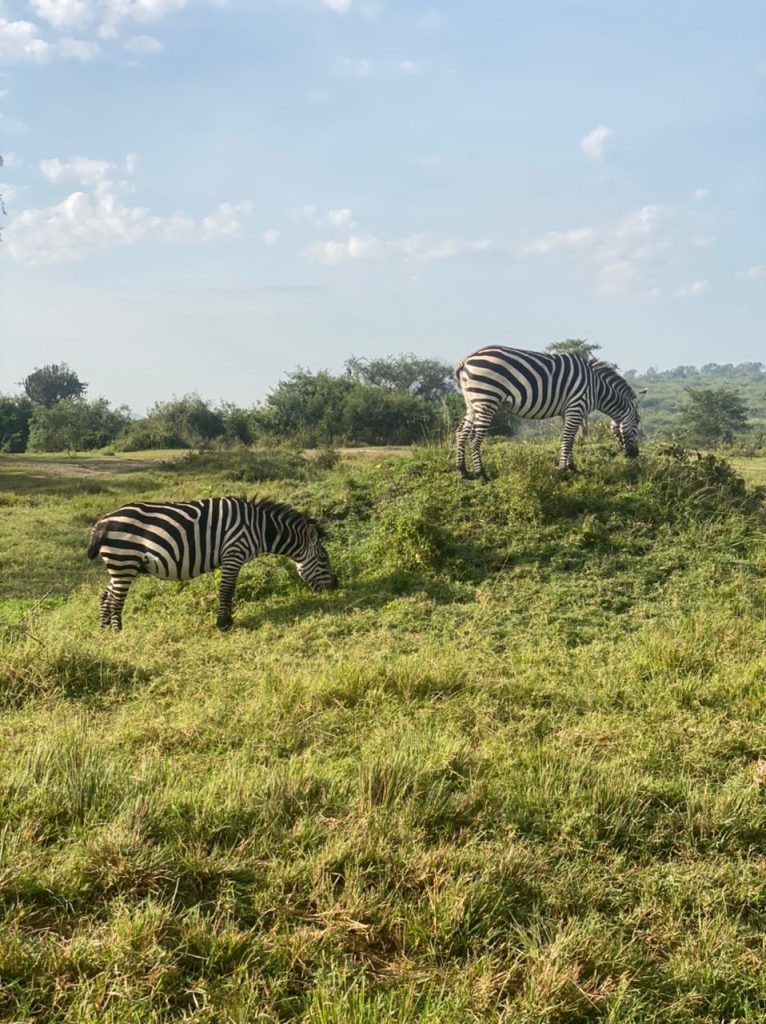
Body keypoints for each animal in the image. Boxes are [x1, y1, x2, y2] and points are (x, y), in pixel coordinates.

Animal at [85, 497, 335, 630]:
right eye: (324, 558)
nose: (336, 586)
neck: (260, 528)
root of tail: (102, 522)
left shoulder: (233, 557)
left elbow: (229, 590)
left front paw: (228, 620)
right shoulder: (234, 553)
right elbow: (227, 590)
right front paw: (223, 624)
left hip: (122, 565)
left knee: (105, 595)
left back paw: (104, 630)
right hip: (124, 561)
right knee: (116, 600)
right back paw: (118, 633)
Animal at [454, 344, 647, 479]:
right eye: (637, 421)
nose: (635, 455)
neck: (597, 387)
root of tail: (466, 359)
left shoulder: (568, 411)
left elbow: (570, 439)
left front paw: (572, 467)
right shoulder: (576, 406)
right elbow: (567, 438)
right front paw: (563, 469)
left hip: (472, 403)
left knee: (461, 432)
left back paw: (463, 471)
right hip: (487, 400)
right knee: (474, 438)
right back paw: (482, 474)